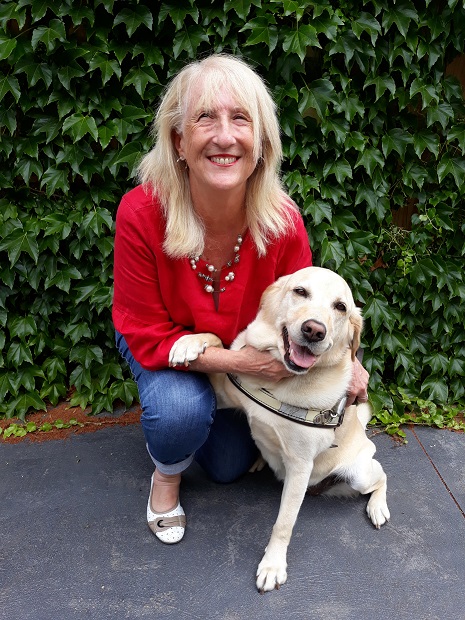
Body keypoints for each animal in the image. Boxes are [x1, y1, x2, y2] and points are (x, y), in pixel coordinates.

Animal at [169, 266, 388, 592]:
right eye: (300, 291)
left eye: (340, 307)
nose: (314, 330)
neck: (281, 381)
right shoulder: (224, 392)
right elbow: (218, 341)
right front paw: (190, 343)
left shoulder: (300, 465)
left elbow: (283, 524)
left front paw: (272, 566)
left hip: (358, 474)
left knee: (381, 477)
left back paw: (378, 507)